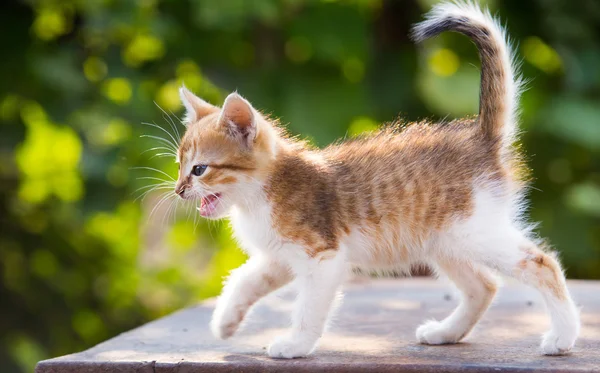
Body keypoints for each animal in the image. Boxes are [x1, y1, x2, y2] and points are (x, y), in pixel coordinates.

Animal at [171, 1, 580, 358]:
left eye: (199, 169)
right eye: (179, 165)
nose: (178, 190)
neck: (258, 196)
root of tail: (479, 137)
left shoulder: (323, 257)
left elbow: (308, 308)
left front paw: (295, 345)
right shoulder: (279, 255)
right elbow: (244, 279)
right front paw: (225, 321)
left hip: (473, 231)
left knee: (542, 263)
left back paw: (562, 337)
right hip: (443, 241)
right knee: (485, 285)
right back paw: (446, 333)